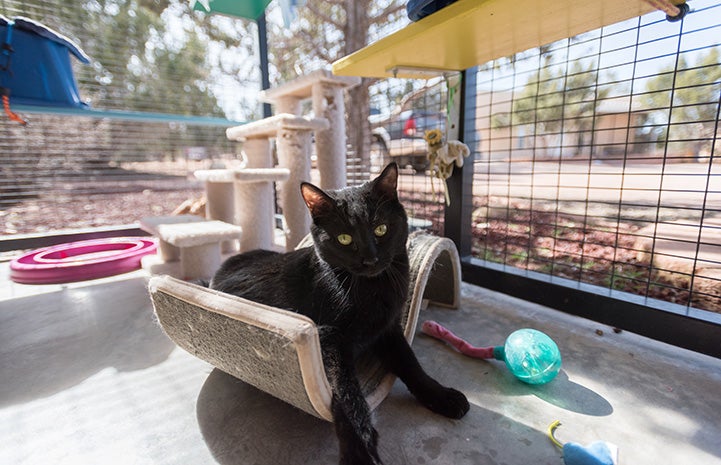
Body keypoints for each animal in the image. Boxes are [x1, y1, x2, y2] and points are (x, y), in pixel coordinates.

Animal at [210, 163, 466, 464]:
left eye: (381, 229)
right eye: (345, 239)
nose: (370, 259)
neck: (371, 289)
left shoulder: (388, 328)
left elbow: (411, 363)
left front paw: (443, 397)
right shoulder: (329, 337)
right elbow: (346, 390)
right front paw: (360, 450)